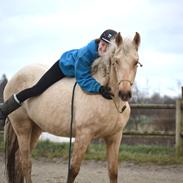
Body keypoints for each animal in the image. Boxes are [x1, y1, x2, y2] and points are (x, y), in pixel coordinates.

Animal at [3, 32, 142, 182]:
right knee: (25, 162)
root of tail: (14, 77)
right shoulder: (83, 135)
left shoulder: (114, 137)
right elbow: (73, 170)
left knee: (19, 159)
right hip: (23, 128)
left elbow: (113, 172)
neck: (109, 100)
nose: (124, 93)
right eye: (116, 61)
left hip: (35, 128)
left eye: (136, 62)